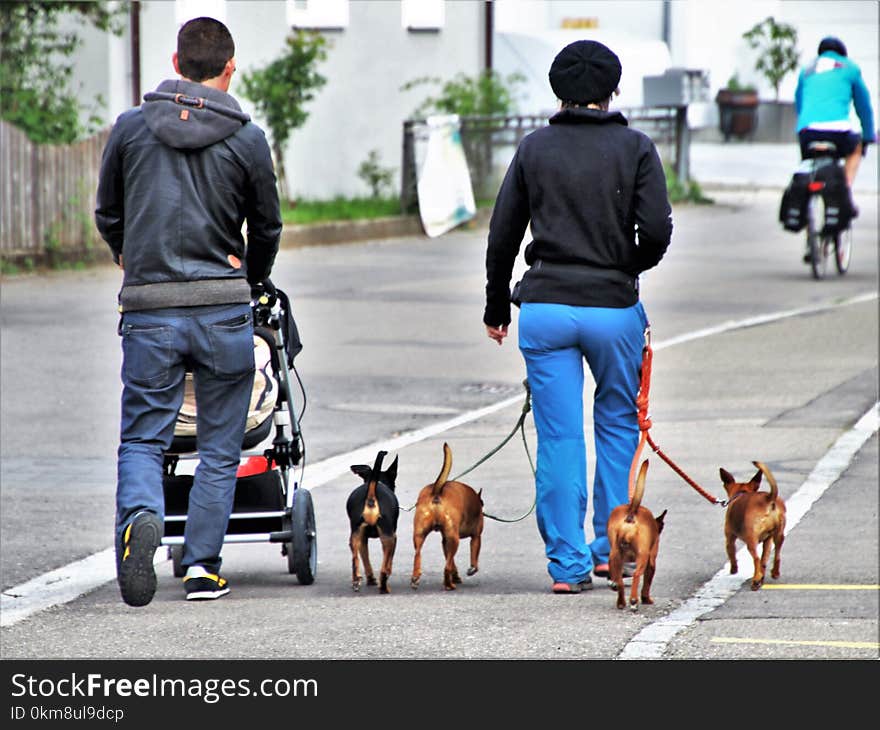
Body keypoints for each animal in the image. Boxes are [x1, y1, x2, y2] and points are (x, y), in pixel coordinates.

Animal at [346, 450, 400, 592]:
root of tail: (371, 497)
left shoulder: (363, 538)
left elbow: (365, 558)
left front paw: (370, 579)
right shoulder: (393, 537)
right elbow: (388, 562)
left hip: (355, 535)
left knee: (355, 559)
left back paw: (356, 580)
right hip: (388, 537)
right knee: (384, 568)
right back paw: (384, 587)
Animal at [410, 440, 484, 588]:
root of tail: (436, 491)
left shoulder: (445, 541)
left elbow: (451, 560)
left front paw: (456, 576)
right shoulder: (476, 537)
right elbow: (473, 557)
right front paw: (471, 569)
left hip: (419, 535)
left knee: (418, 554)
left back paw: (415, 577)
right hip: (454, 538)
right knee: (446, 567)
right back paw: (449, 585)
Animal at [604, 460, 668, 608]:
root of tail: (631, 513)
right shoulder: (651, 561)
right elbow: (646, 584)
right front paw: (646, 599)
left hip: (614, 556)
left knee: (620, 582)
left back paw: (621, 602)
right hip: (642, 557)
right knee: (637, 575)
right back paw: (633, 600)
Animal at [720, 460, 784, 592]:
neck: (741, 493)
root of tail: (768, 499)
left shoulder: (729, 538)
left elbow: (732, 554)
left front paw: (734, 569)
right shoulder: (768, 541)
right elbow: (764, 560)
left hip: (751, 541)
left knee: (756, 559)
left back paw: (755, 581)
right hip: (778, 536)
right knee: (774, 556)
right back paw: (773, 573)